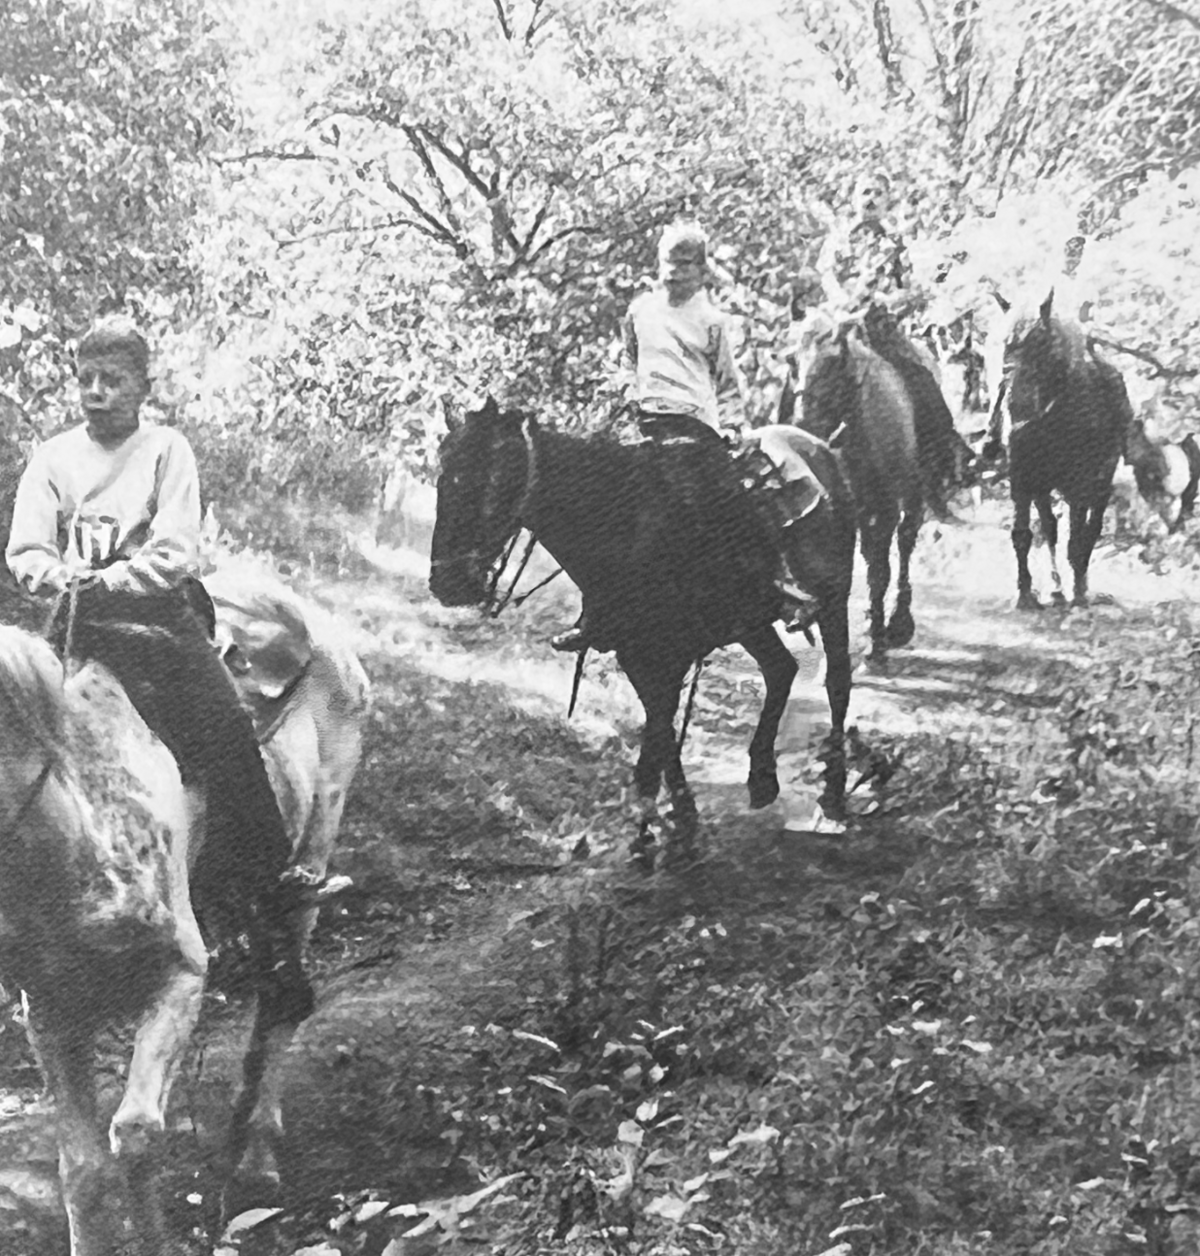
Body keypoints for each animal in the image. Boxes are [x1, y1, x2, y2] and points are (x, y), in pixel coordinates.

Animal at [427, 401, 859, 864]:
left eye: (498, 478)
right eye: (444, 476)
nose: (449, 583)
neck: (626, 529)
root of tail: (821, 449)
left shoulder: (671, 656)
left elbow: (655, 744)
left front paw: (654, 836)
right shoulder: (636, 657)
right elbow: (661, 737)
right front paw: (678, 822)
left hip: (834, 603)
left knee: (837, 683)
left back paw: (833, 795)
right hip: (752, 625)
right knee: (781, 670)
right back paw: (762, 778)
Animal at [1005, 293, 1135, 607]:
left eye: (1040, 342)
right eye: (1007, 344)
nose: (1015, 405)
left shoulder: (1080, 484)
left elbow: (1078, 538)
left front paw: (1078, 593)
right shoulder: (1023, 480)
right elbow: (1024, 534)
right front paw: (1025, 594)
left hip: (1099, 484)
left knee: (1090, 529)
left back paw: (1079, 588)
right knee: (1051, 528)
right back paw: (1056, 588)